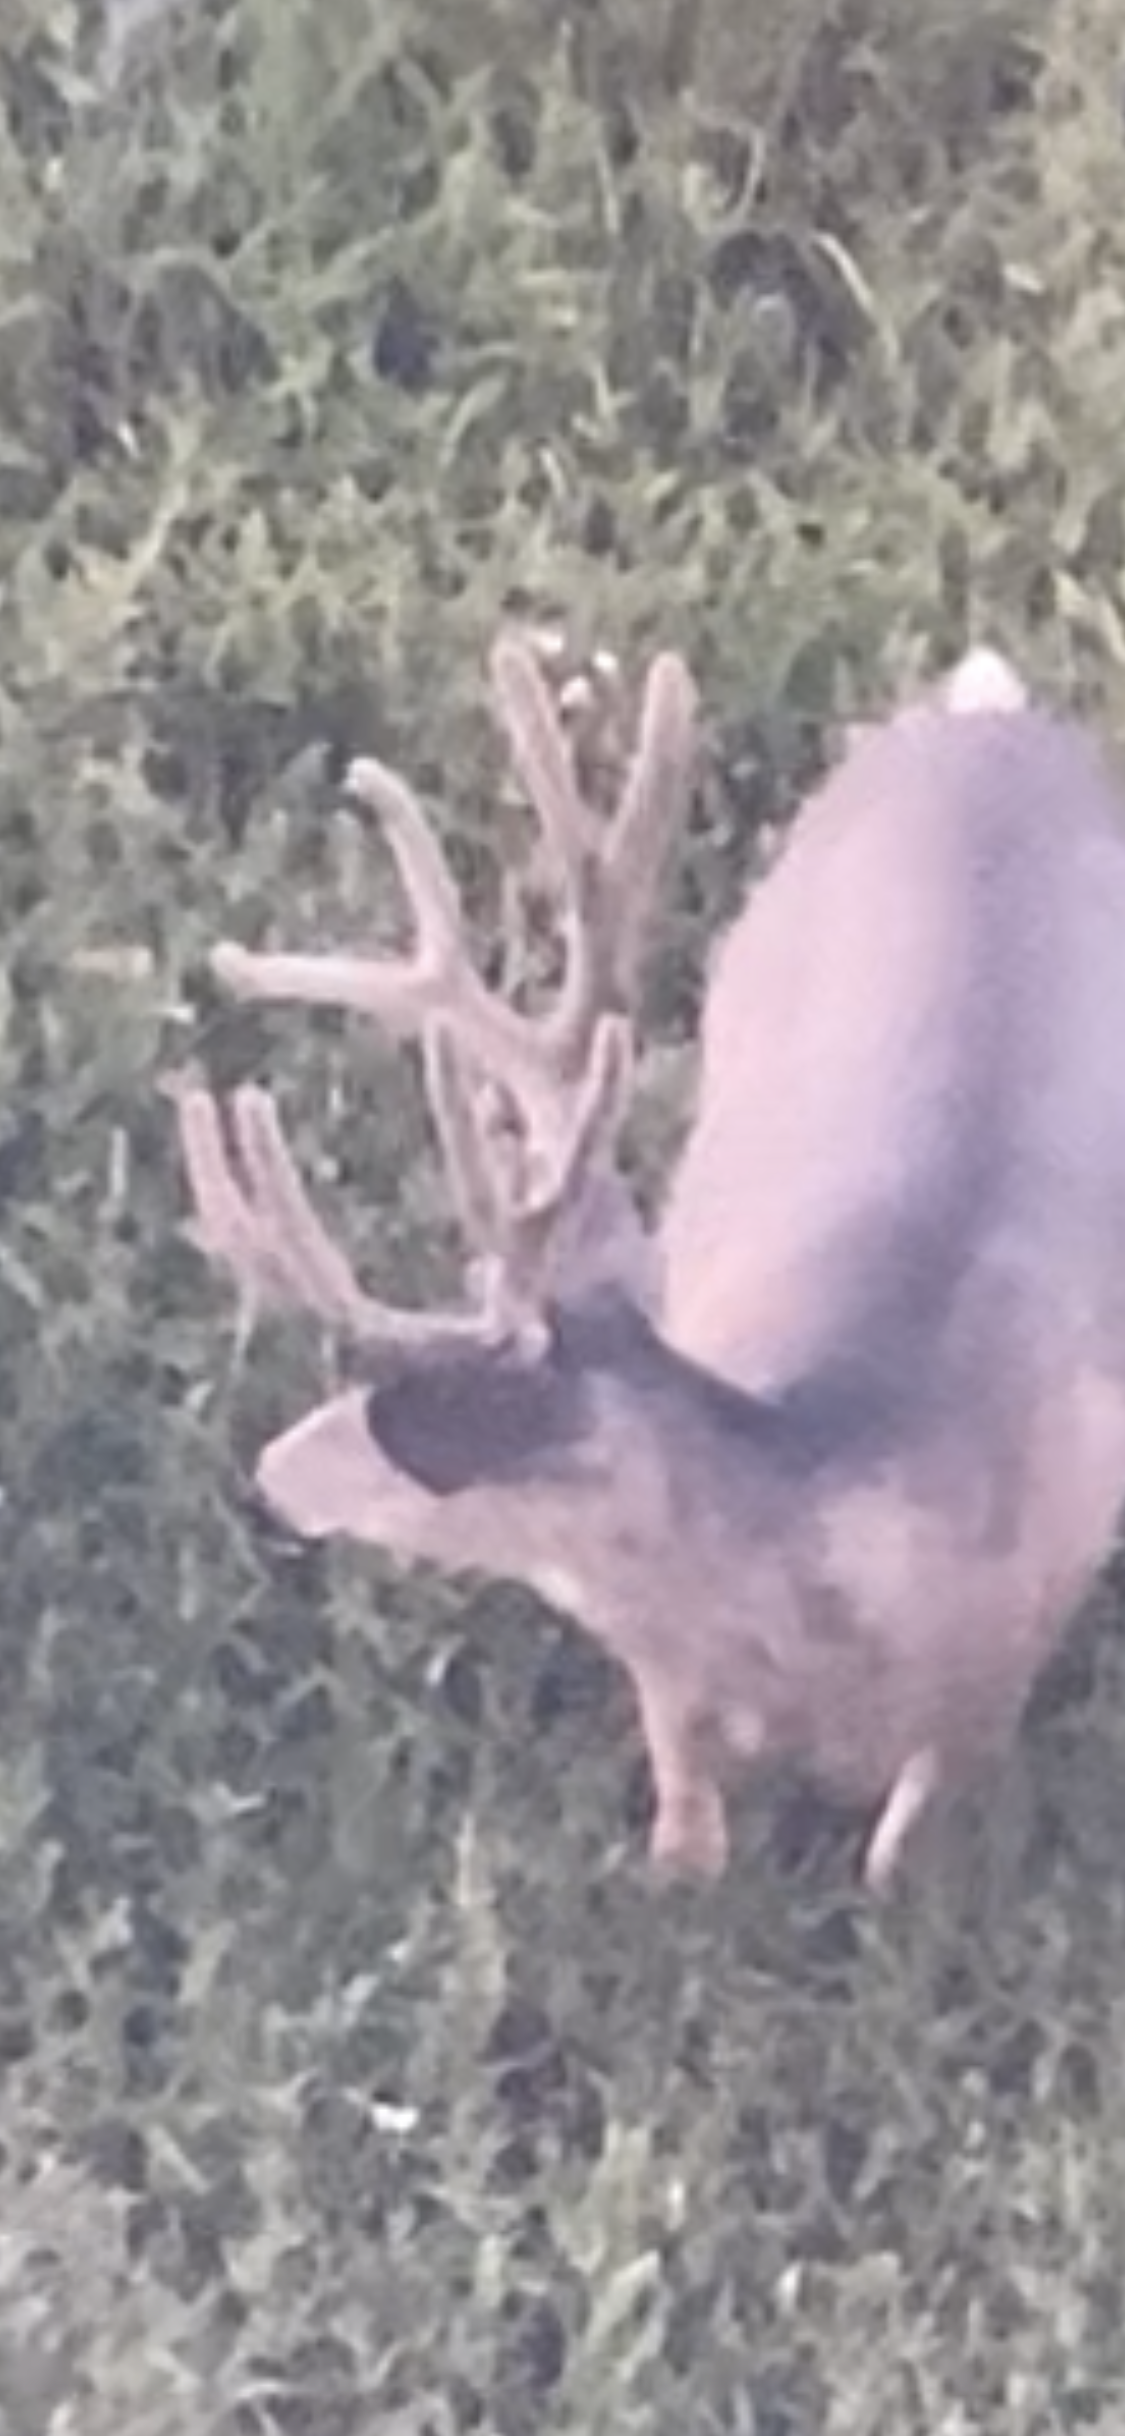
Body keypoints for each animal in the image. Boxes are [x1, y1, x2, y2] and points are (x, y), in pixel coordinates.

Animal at [172, 633, 1125, 1891]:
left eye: (411, 1422)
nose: (274, 1468)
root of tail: (985, 714)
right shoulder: (668, 1686)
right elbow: (687, 1845)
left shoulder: (984, 1711)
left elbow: (896, 1874)